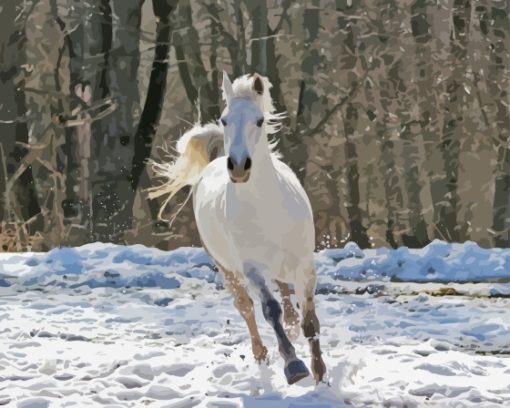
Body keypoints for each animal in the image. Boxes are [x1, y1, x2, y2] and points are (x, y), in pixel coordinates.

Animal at [151, 72, 326, 382]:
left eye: (259, 120)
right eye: (224, 120)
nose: (239, 166)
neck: (267, 208)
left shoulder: (304, 264)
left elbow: (309, 320)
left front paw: (320, 373)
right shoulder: (251, 268)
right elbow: (269, 310)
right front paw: (294, 365)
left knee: (284, 290)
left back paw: (291, 325)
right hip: (227, 268)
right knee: (246, 308)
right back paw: (261, 354)